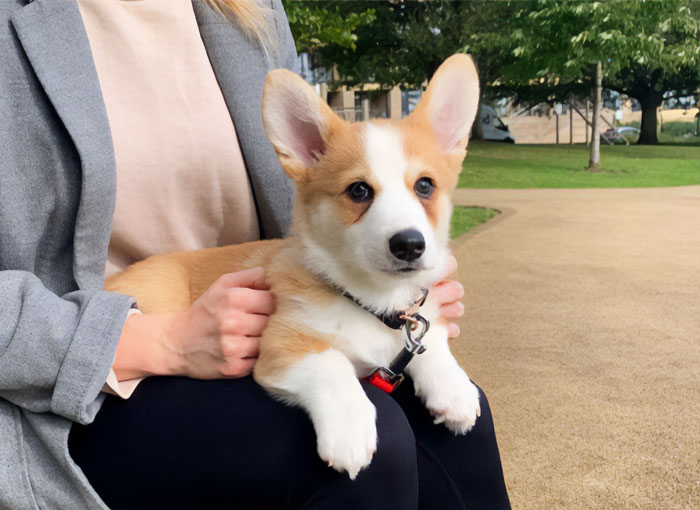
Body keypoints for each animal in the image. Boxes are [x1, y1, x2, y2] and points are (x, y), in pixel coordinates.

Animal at [106, 52, 484, 478]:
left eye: (424, 186)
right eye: (358, 190)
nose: (409, 245)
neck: (372, 300)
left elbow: (429, 340)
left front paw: (453, 389)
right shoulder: (280, 345)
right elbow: (330, 362)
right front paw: (351, 430)